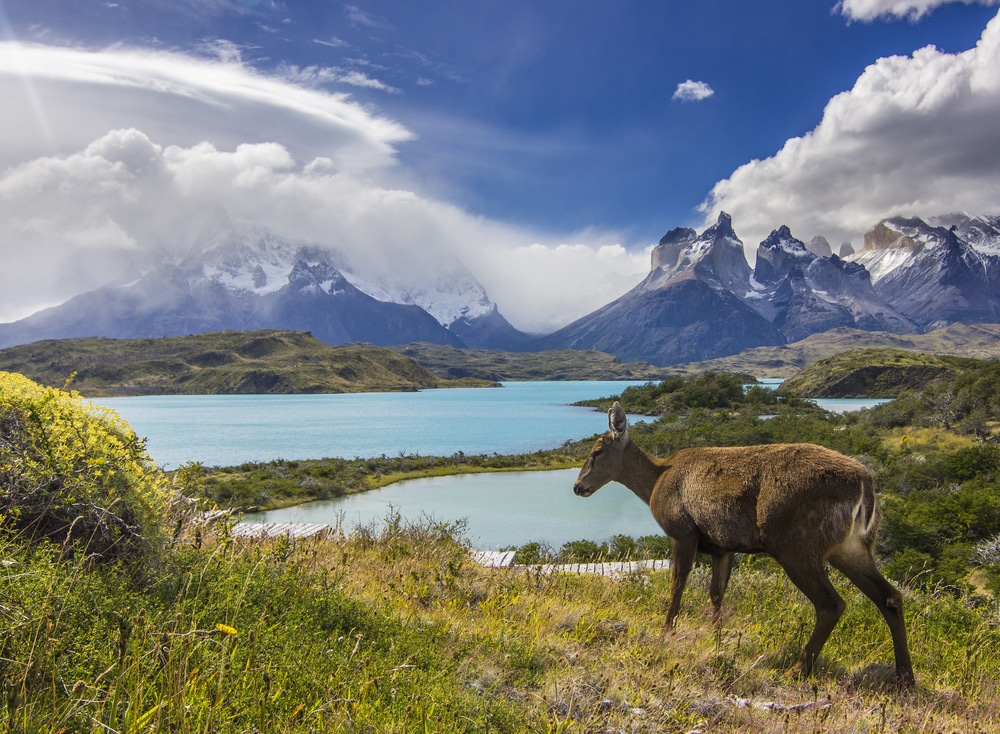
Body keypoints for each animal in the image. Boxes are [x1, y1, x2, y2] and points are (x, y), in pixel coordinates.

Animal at [572, 402, 916, 684]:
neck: (655, 482)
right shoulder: (723, 546)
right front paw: (716, 637)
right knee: (890, 596)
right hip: (851, 546)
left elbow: (677, 583)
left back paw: (799, 669)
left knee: (831, 603)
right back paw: (904, 677)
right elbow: (716, 592)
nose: (577, 486)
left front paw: (666, 631)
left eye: (597, 451)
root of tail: (865, 485)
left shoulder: (682, 531)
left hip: (794, 542)